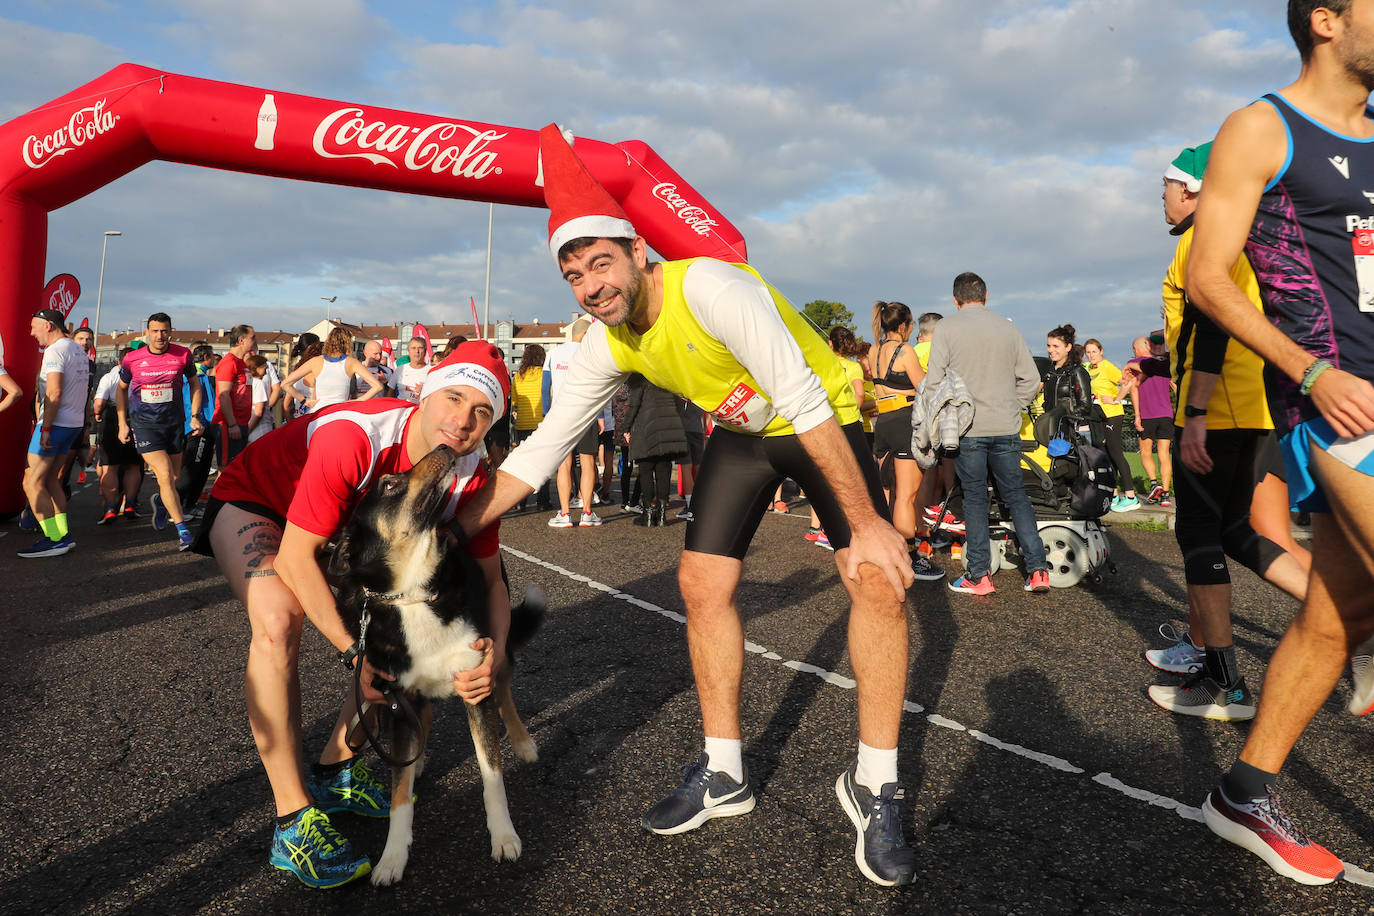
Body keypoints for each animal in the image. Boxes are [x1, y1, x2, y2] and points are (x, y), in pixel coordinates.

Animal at [329, 444, 544, 889]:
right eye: (388, 484)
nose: (444, 448)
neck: (412, 592)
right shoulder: (394, 698)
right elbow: (398, 795)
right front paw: (392, 858)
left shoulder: (474, 680)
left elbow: (491, 775)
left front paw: (504, 836)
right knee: (422, 717)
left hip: (496, 650)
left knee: (505, 691)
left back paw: (522, 742)